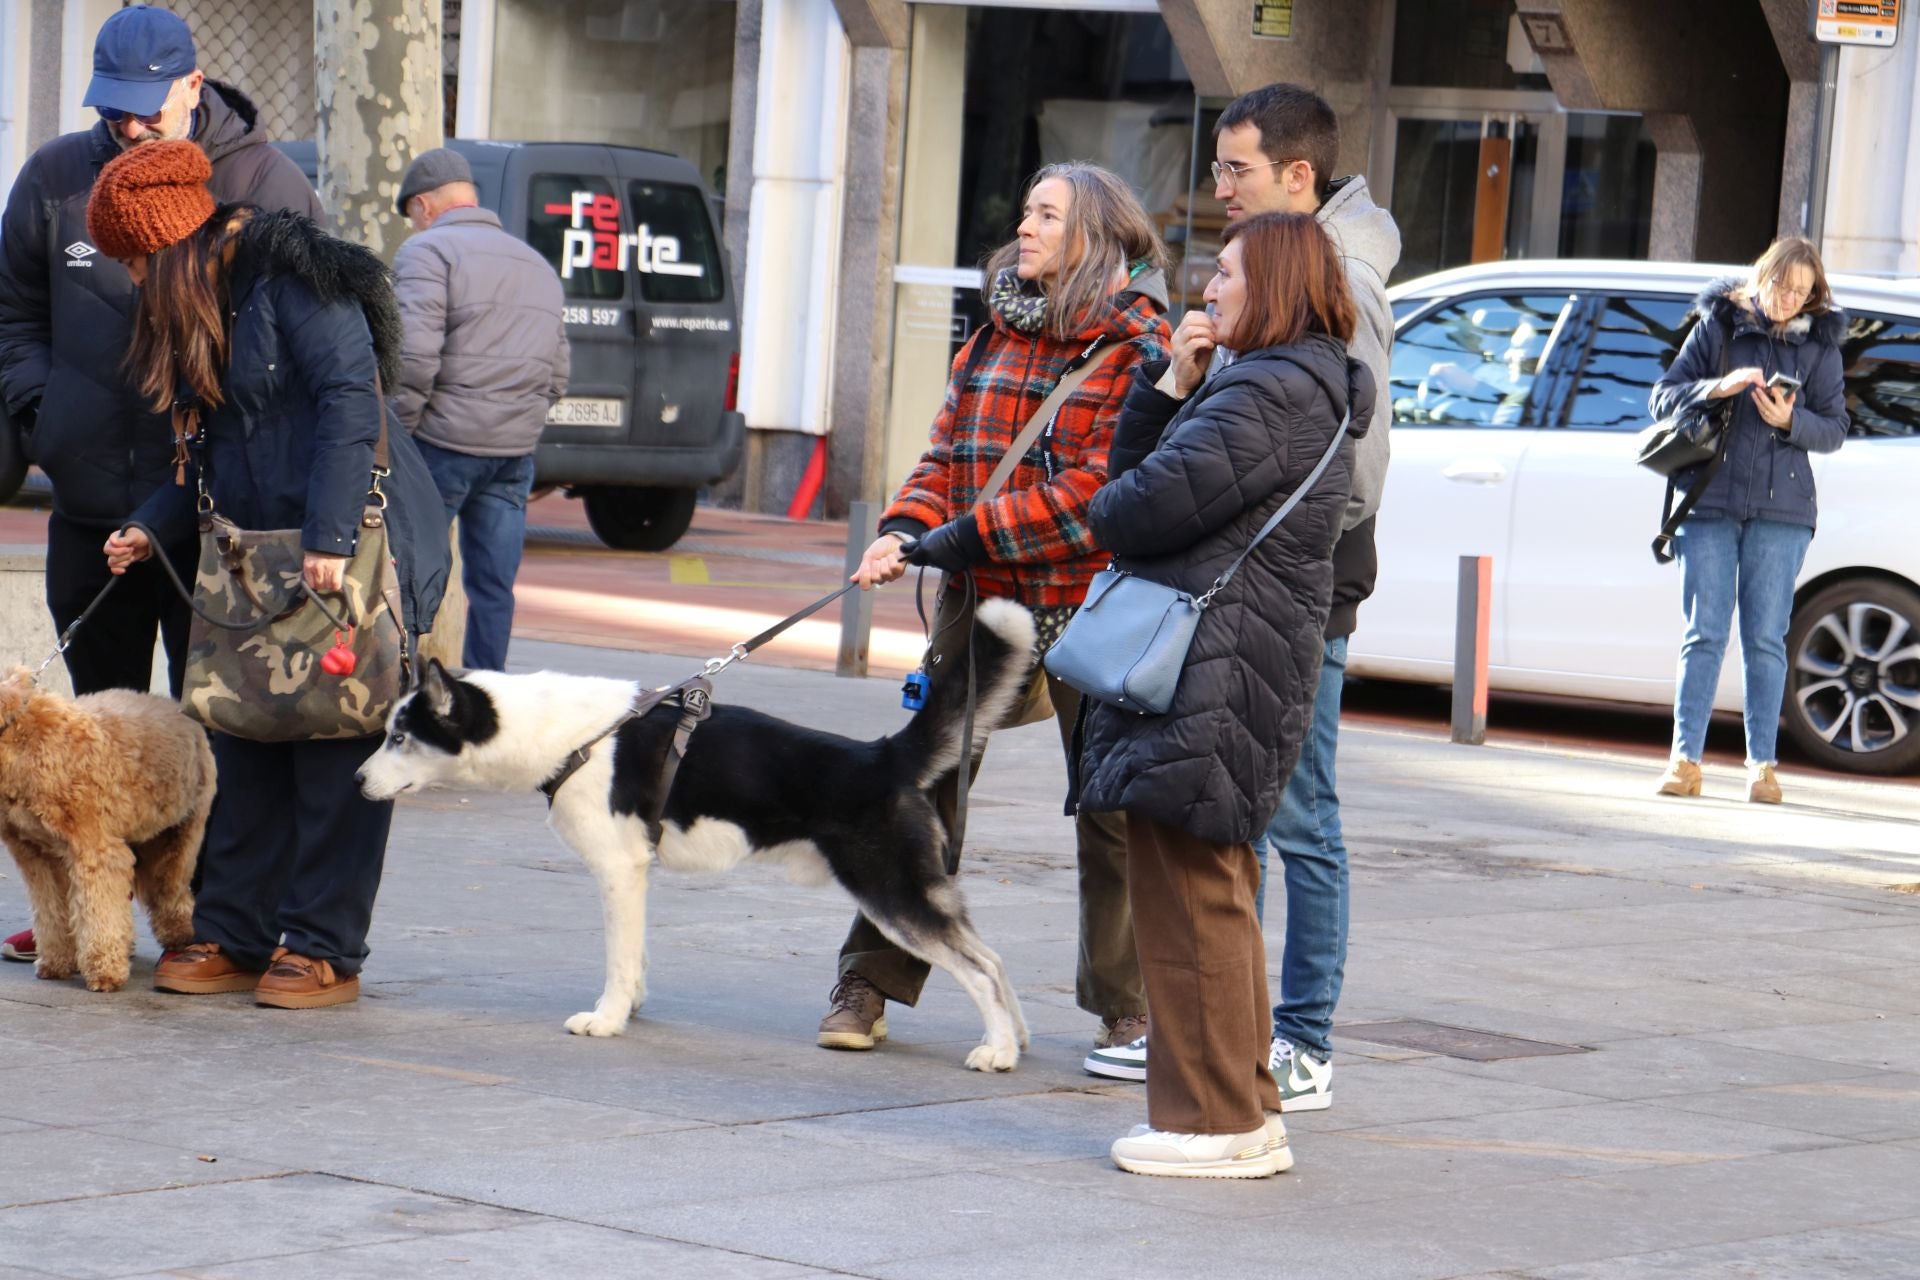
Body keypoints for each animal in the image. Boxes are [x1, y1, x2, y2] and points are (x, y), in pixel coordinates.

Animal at [0, 671, 216, 990]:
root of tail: (181, 711)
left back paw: (182, 938)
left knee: (171, 892)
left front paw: (105, 970)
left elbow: (98, 911)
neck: (21, 741)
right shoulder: (37, 858)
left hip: (178, 839)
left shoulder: (94, 850)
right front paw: (56, 962)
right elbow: (51, 913)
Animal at [349, 598, 1036, 1074]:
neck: (570, 734)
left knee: (977, 968)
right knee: (994, 957)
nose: (355, 781)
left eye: (400, 738)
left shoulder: (617, 869)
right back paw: (1017, 1037)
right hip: (914, 893)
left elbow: (617, 959)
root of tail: (880, 755)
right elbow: (634, 955)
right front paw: (630, 1006)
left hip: (891, 898)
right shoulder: (635, 872)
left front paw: (607, 1020)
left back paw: (997, 1052)